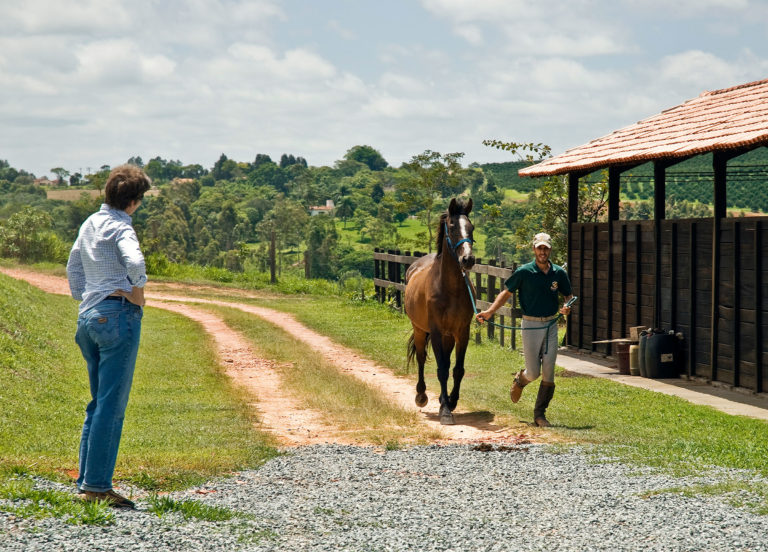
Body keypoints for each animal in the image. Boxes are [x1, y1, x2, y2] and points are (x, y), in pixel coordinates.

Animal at [404, 197, 476, 425]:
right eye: (452, 227)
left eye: (471, 227)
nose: (468, 259)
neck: (449, 288)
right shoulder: (435, 332)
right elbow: (442, 370)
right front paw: (445, 411)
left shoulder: (462, 332)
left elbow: (457, 369)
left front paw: (450, 401)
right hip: (420, 330)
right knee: (420, 357)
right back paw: (421, 395)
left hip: (448, 336)